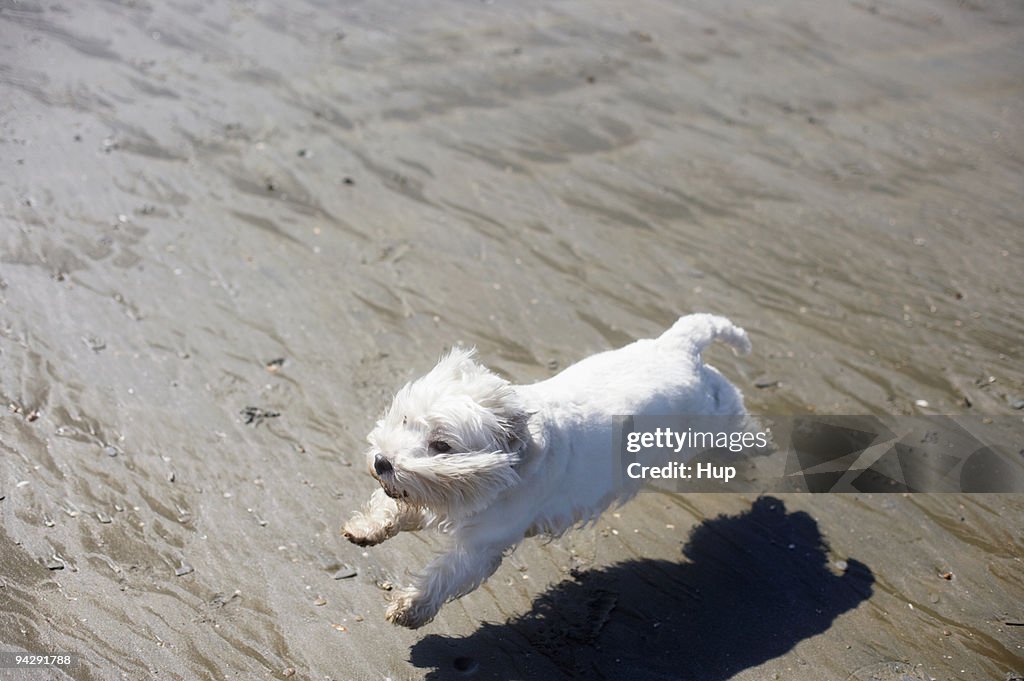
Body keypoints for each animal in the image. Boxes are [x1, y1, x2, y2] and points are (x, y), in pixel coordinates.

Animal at [339, 313, 749, 626]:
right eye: (405, 420)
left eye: (442, 445)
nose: (381, 462)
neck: (508, 466)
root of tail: (681, 347)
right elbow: (394, 507)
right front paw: (365, 529)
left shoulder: (484, 542)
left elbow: (447, 573)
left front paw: (409, 608)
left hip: (720, 423)